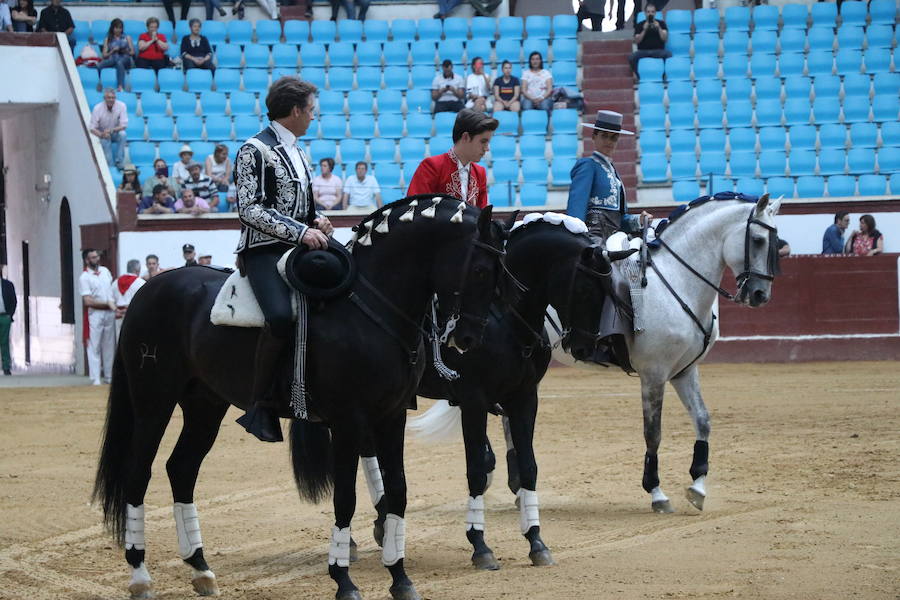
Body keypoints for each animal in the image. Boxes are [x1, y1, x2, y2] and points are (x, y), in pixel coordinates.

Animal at [95, 197, 510, 600]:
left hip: (205, 406)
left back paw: (200, 569)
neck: (368, 309)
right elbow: (345, 498)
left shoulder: (391, 417)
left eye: (499, 272)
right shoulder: (348, 421)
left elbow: (398, 492)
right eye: (479, 270)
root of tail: (150, 289)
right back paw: (140, 576)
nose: (469, 338)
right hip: (153, 403)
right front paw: (343, 580)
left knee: (181, 469)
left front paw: (400, 578)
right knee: (138, 473)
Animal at [368, 216, 632, 568]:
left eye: (610, 291)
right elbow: (477, 470)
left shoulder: (524, 398)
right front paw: (480, 546)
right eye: (585, 288)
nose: (586, 347)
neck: (506, 321)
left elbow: (529, 466)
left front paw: (536, 542)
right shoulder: (474, 401)